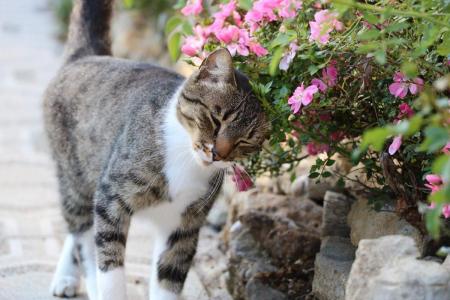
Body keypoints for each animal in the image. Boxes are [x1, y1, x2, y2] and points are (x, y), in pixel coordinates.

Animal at [43, 0, 268, 300]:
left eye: (246, 140)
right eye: (216, 119)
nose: (217, 154)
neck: (185, 159)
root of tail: (87, 56)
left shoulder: (185, 224)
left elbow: (170, 275)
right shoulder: (111, 196)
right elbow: (109, 264)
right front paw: (107, 288)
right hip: (74, 174)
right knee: (82, 234)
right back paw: (75, 278)